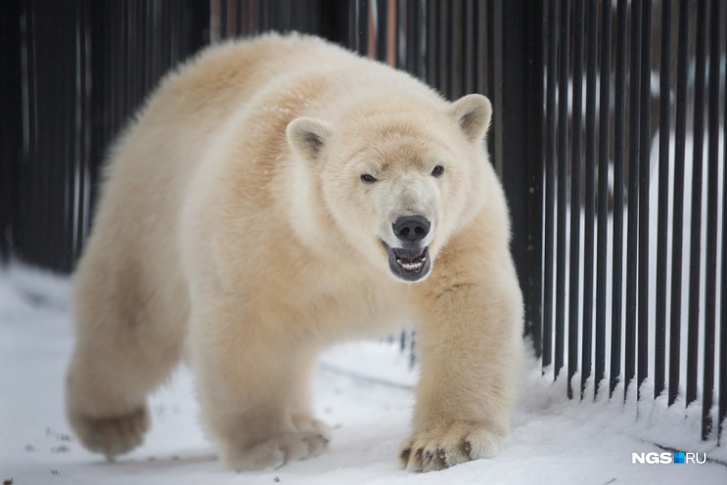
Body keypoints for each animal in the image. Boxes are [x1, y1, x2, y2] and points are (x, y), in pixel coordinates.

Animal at [65, 32, 524, 470]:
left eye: (438, 168)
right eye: (367, 176)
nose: (411, 224)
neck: (350, 252)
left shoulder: (462, 230)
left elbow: (468, 303)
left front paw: (441, 444)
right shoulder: (262, 228)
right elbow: (248, 324)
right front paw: (271, 444)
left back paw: (307, 424)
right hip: (151, 203)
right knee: (133, 318)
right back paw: (112, 425)